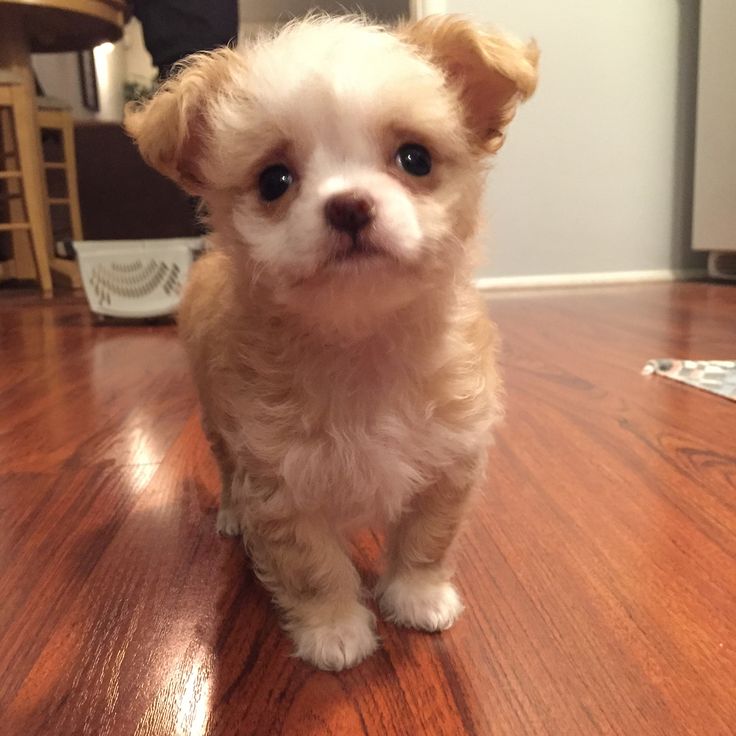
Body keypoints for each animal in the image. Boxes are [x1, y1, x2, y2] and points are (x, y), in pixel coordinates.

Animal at [126, 14, 536, 668]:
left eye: (415, 158)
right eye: (274, 180)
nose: (349, 206)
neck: (359, 340)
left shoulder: (451, 462)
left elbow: (426, 540)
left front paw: (418, 597)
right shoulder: (278, 485)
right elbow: (312, 567)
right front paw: (335, 631)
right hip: (216, 419)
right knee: (225, 469)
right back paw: (230, 516)